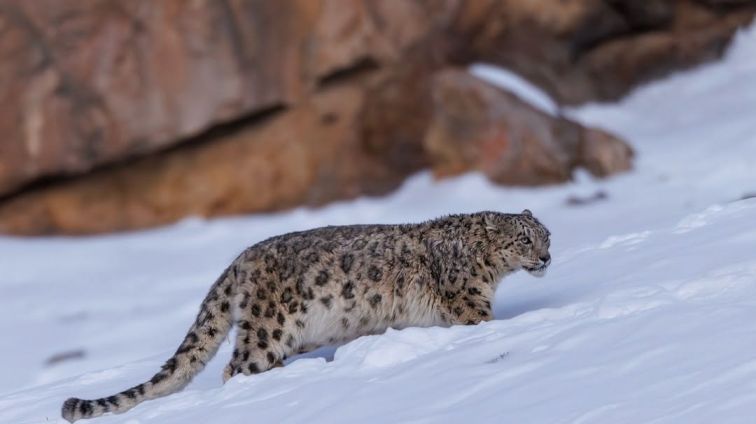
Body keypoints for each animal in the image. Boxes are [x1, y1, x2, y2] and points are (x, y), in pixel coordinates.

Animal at [62, 209, 551, 422]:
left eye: (546, 234)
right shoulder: (470, 306)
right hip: (267, 328)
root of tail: (240, 260)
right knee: (236, 367)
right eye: (524, 239)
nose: (547, 257)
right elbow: (487, 325)